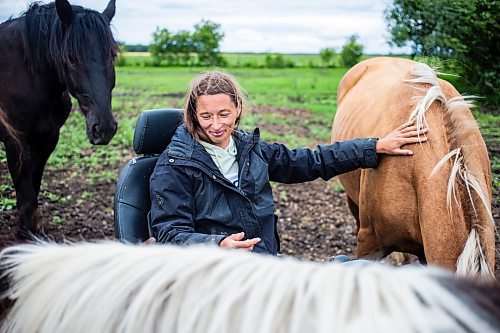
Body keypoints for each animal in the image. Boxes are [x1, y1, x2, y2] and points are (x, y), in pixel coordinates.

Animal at [0, 0, 118, 239]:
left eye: (112, 56)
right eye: (71, 58)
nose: (104, 129)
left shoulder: (47, 139)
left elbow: (34, 187)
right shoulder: (15, 142)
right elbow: (25, 193)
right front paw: (25, 234)